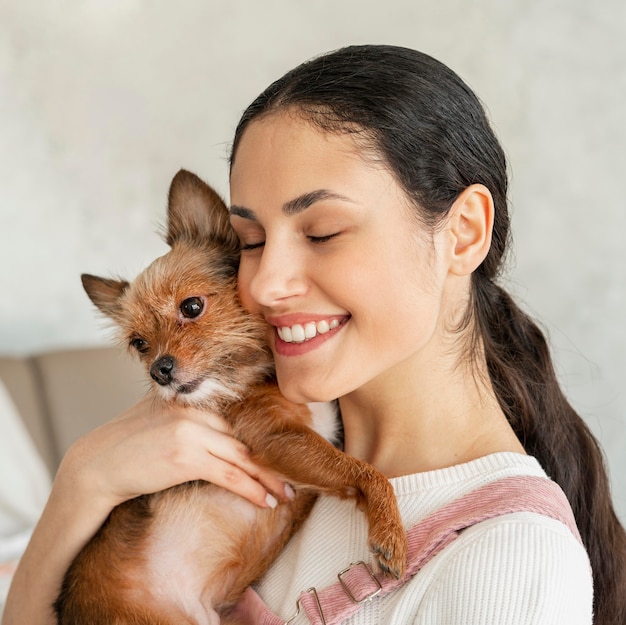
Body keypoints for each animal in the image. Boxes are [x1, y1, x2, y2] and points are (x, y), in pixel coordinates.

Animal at [53, 171, 404, 624]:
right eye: (139, 344)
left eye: (191, 306)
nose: (159, 370)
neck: (255, 378)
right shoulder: (276, 437)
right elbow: (365, 471)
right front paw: (390, 530)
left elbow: (355, 467)